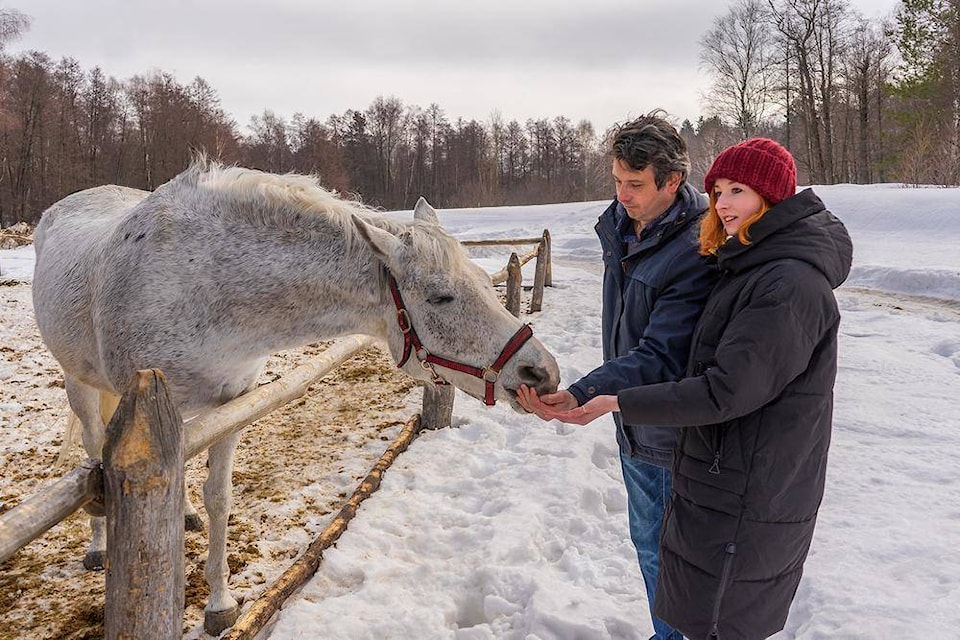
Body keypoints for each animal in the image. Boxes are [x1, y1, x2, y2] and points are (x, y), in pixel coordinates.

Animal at [30, 159, 560, 632]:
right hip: (83, 384)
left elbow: (218, 497)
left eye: (481, 280)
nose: (542, 373)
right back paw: (98, 546)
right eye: (440, 297)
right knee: (93, 447)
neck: (202, 284)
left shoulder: (230, 404)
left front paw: (219, 603)